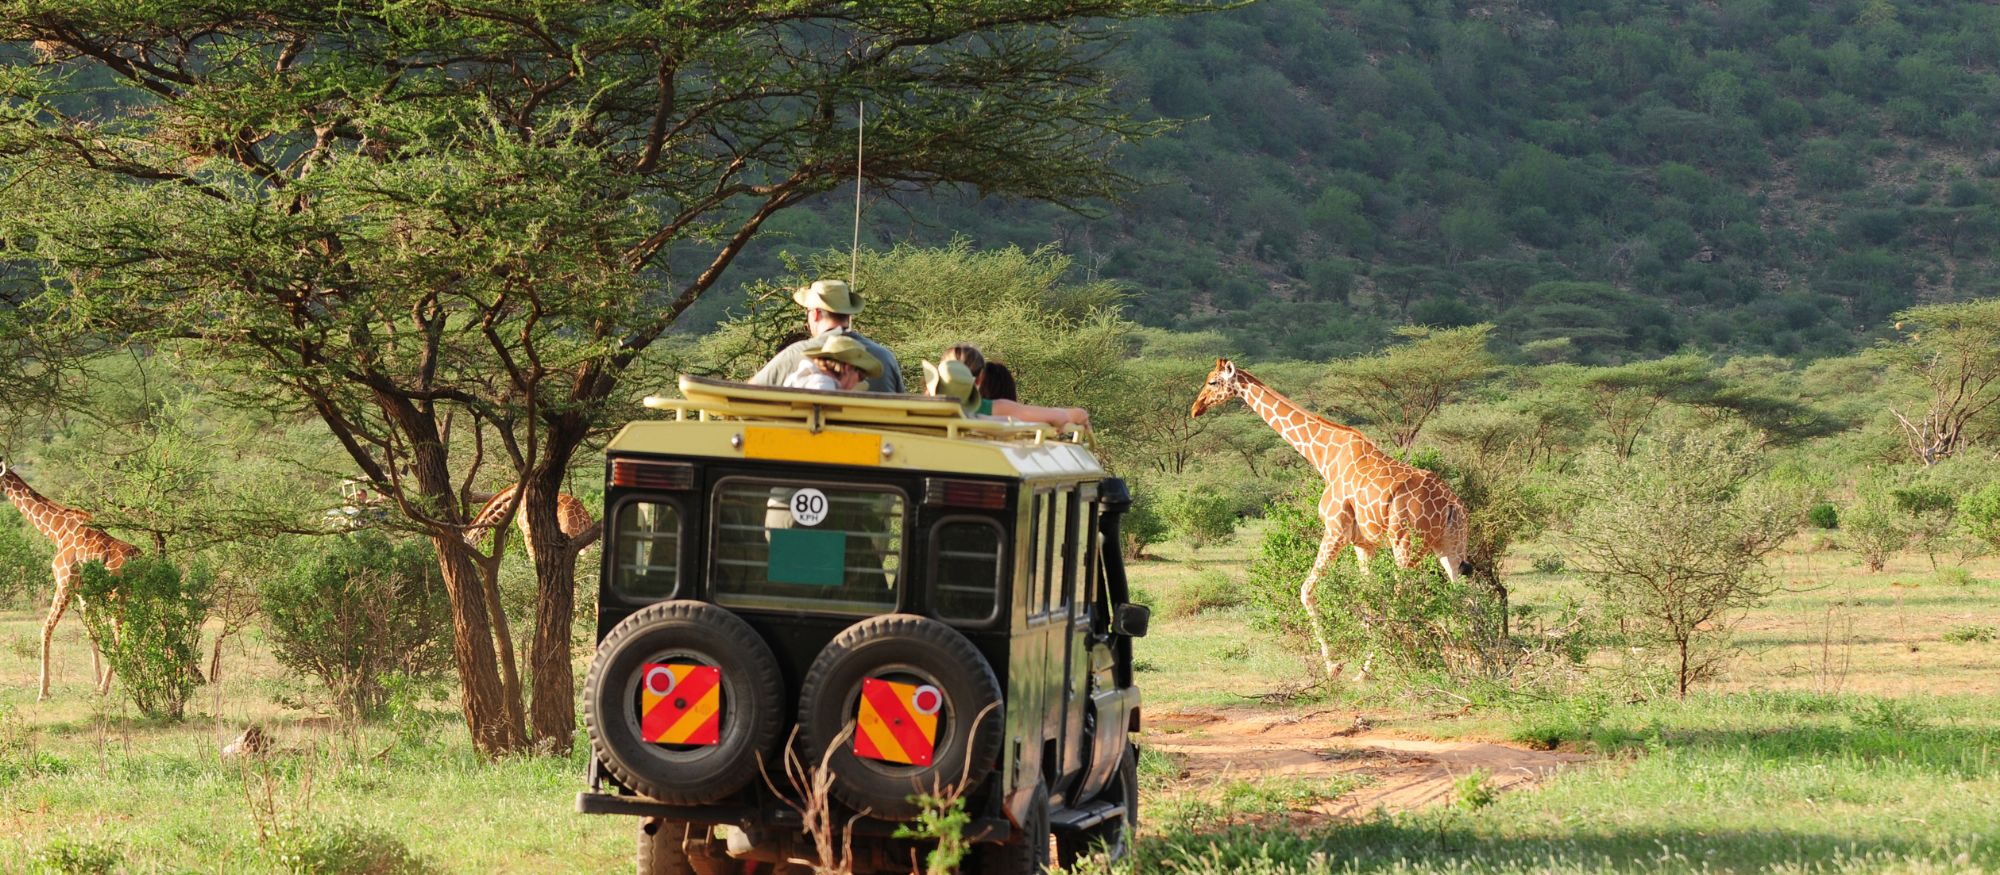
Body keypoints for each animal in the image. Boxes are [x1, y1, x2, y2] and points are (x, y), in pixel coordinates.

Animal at [0, 461, 140, 699]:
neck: (57, 530)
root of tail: (140, 557)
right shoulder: (84, 591)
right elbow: (92, 633)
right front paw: (95, 682)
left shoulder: (65, 582)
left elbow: (46, 628)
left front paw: (43, 692)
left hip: (117, 596)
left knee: (119, 633)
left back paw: (108, 687)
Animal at [1184, 359, 1472, 679]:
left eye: (1212, 382)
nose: (1196, 408)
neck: (1323, 456)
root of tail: (1451, 504)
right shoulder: (1364, 544)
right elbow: (1369, 599)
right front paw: (1368, 666)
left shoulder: (1336, 530)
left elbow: (1306, 590)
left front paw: (1336, 666)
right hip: (1450, 546)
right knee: (1465, 596)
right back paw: (1473, 665)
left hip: (1406, 544)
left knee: (1406, 597)